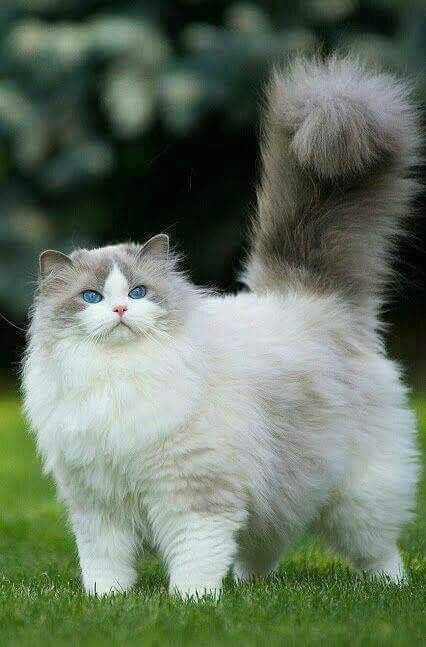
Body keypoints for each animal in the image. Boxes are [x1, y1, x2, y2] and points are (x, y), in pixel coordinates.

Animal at [22, 55, 420, 596]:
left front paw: (192, 601)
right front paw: (108, 602)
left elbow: (196, 557)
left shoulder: (195, 495)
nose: (120, 311)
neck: (119, 377)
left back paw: (391, 588)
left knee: (379, 551)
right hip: (280, 492)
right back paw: (250, 589)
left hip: (357, 497)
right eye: (91, 297)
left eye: (139, 293)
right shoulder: (97, 506)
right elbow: (104, 567)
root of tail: (312, 297)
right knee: (263, 548)